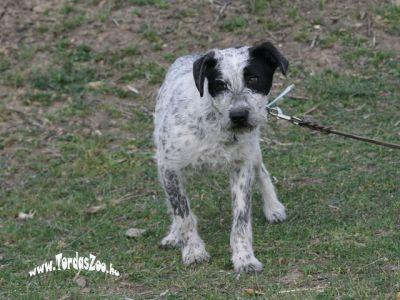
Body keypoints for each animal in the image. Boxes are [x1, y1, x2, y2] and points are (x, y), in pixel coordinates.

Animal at [153, 41, 288, 274]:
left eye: (253, 79)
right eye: (220, 84)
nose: (239, 115)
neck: (216, 124)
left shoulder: (242, 164)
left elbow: (241, 219)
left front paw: (244, 257)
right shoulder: (168, 166)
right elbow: (182, 213)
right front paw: (193, 250)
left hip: (253, 150)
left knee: (262, 171)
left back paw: (273, 207)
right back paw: (174, 234)